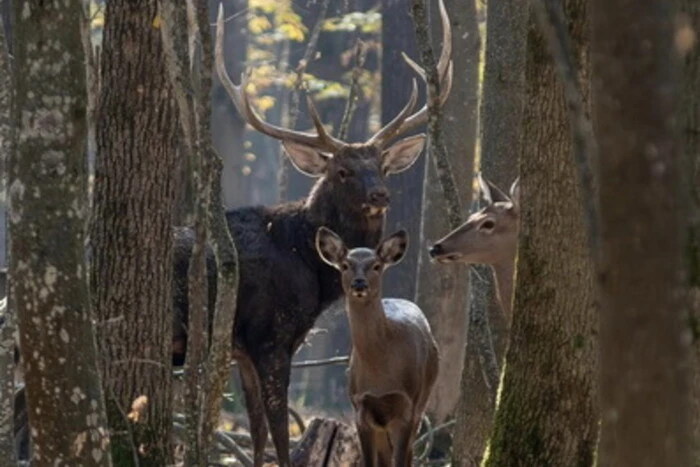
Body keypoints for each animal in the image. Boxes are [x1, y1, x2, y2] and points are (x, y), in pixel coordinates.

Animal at [316, 229, 438, 467]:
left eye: (376, 265)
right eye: (345, 265)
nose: (359, 284)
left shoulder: (407, 406)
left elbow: (400, 459)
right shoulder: (360, 408)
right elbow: (369, 461)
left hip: (422, 400)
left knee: (408, 453)